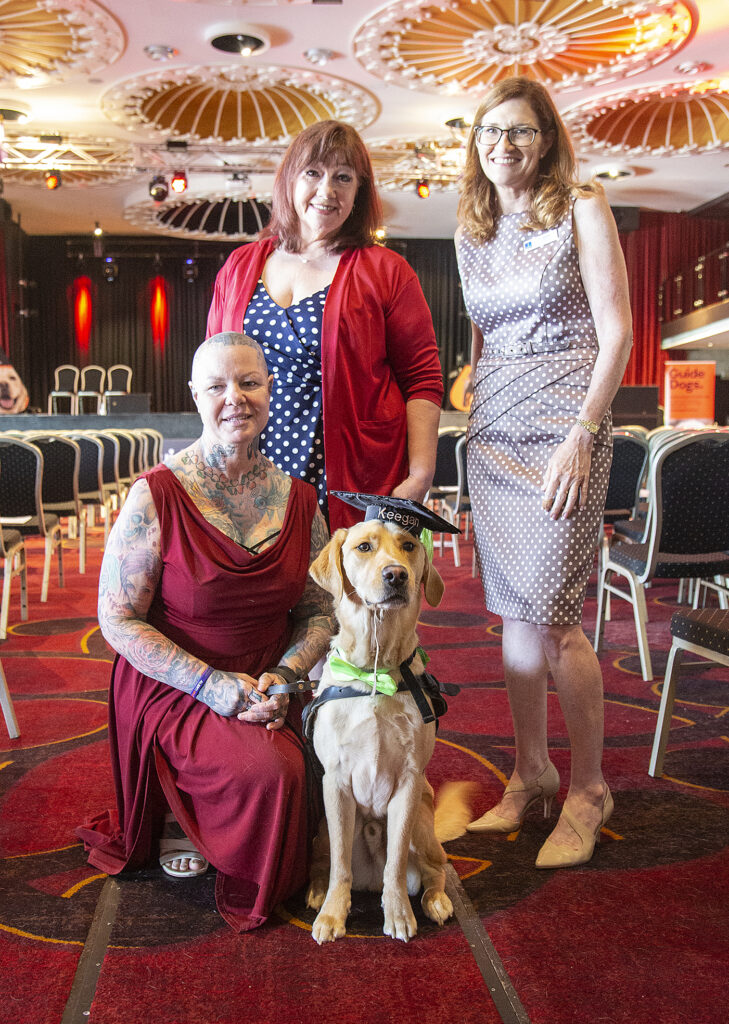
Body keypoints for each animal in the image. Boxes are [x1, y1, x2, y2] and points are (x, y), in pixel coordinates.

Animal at [305, 507, 468, 946]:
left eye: (409, 545)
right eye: (364, 547)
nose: (397, 575)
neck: (375, 673)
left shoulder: (409, 781)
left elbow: (395, 864)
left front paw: (397, 913)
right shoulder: (335, 783)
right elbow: (339, 865)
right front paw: (332, 914)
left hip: (424, 826)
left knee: (434, 870)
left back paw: (436, 900)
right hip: (321, 826)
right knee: (329, 861)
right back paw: (317, 890)